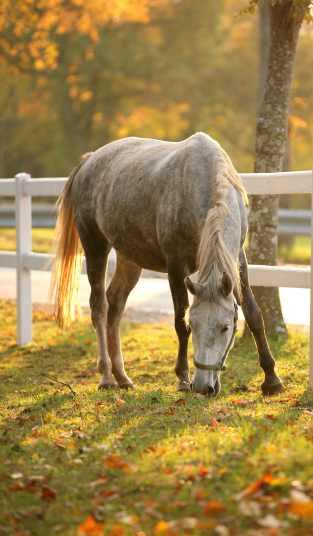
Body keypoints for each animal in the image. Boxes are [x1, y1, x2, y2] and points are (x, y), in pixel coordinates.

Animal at [50, 132, 282, 396]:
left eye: (225, 327)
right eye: (195, 323)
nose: (203, 387)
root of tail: (89, 161)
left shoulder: (238, 262)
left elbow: (253, 314)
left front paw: (271, 379)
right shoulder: (176, 266)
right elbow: (180, 323)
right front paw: (182, 378)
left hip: (129, 259)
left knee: (115, 304)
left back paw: (122, 376)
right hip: (95, 246)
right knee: (99, 307)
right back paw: (107, 376)